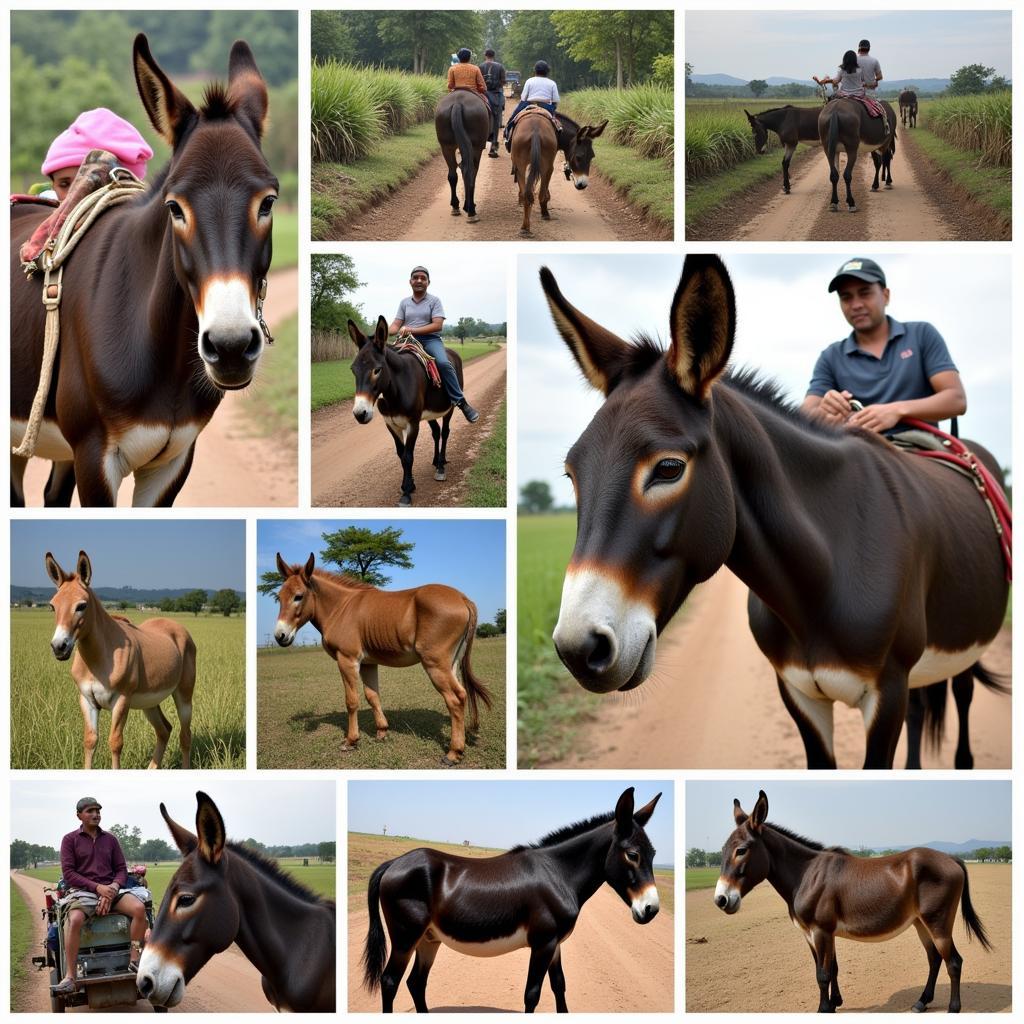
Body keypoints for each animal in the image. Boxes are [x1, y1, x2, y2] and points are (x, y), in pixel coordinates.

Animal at [46, 552, 194, 770]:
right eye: (53, 606)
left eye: (81, 606)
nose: (59, 647)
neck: (99, 661)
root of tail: (177, 628)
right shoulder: (87, 701)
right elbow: (90, 741)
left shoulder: (121, 701)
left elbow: (115, 743)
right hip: (150, 703)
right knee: (164, 730)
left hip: (183, 696)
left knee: (185, 736)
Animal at [712, 786, 991, 1011]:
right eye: (723, 850)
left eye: (741, 850)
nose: (721, 900)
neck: (806, 875)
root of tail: (951, 858)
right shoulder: (816, 934)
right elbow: (830, 968)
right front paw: (836, 1002)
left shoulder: (820, 931)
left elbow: (822, 974)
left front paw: (824, 1009)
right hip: (920, 922)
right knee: (934, 959)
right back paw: (922, 1002)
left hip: (937, 923)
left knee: (953, 962)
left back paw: (953, 1008)